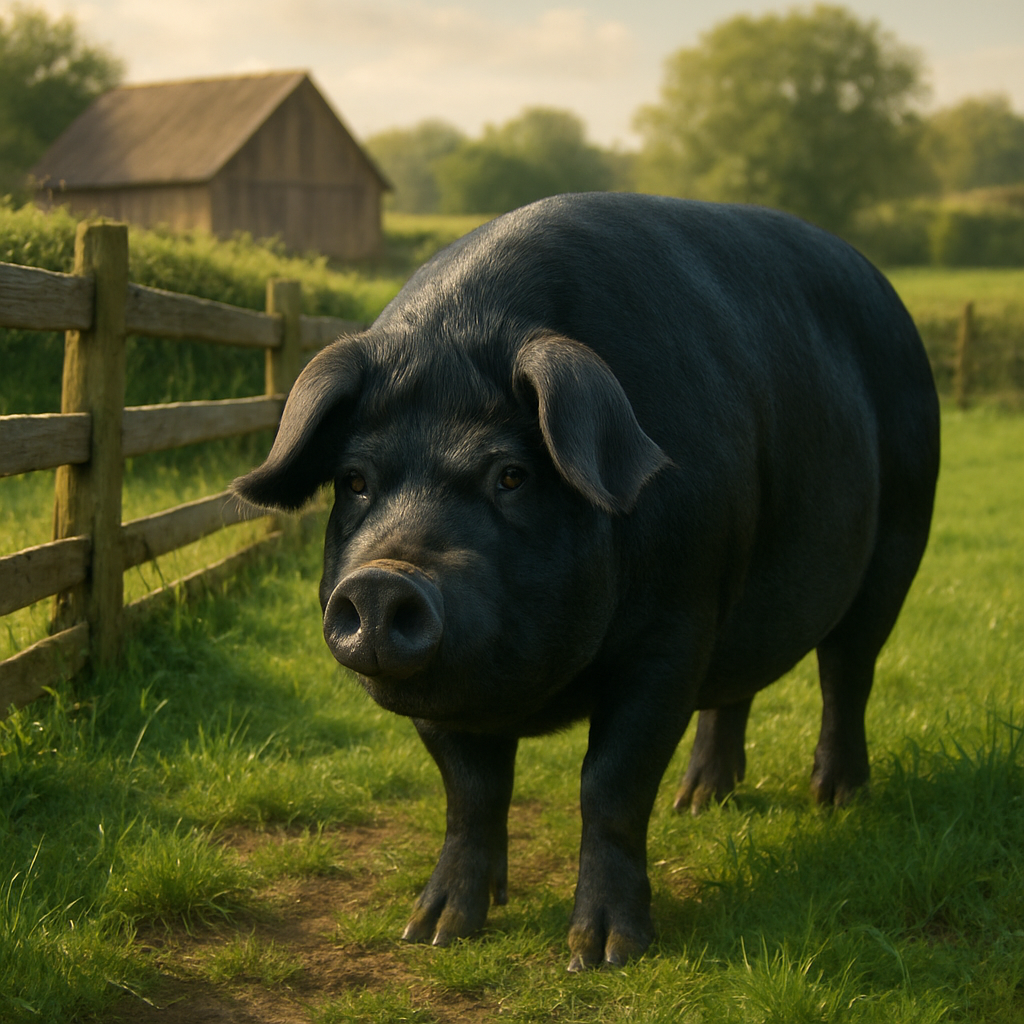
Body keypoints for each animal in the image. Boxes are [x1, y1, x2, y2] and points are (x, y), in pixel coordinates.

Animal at [232, 193, 940, 971]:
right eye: (355, 480)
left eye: (512, 474)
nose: (386, 581)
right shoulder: (443, 694)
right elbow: (471, 792)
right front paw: (435, 932)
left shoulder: (673, 634)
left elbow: (610, 783)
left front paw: (602, 954)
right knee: (738, 688)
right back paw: (700, 802)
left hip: (901, 539)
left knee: (847, 671)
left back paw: (837, 800)